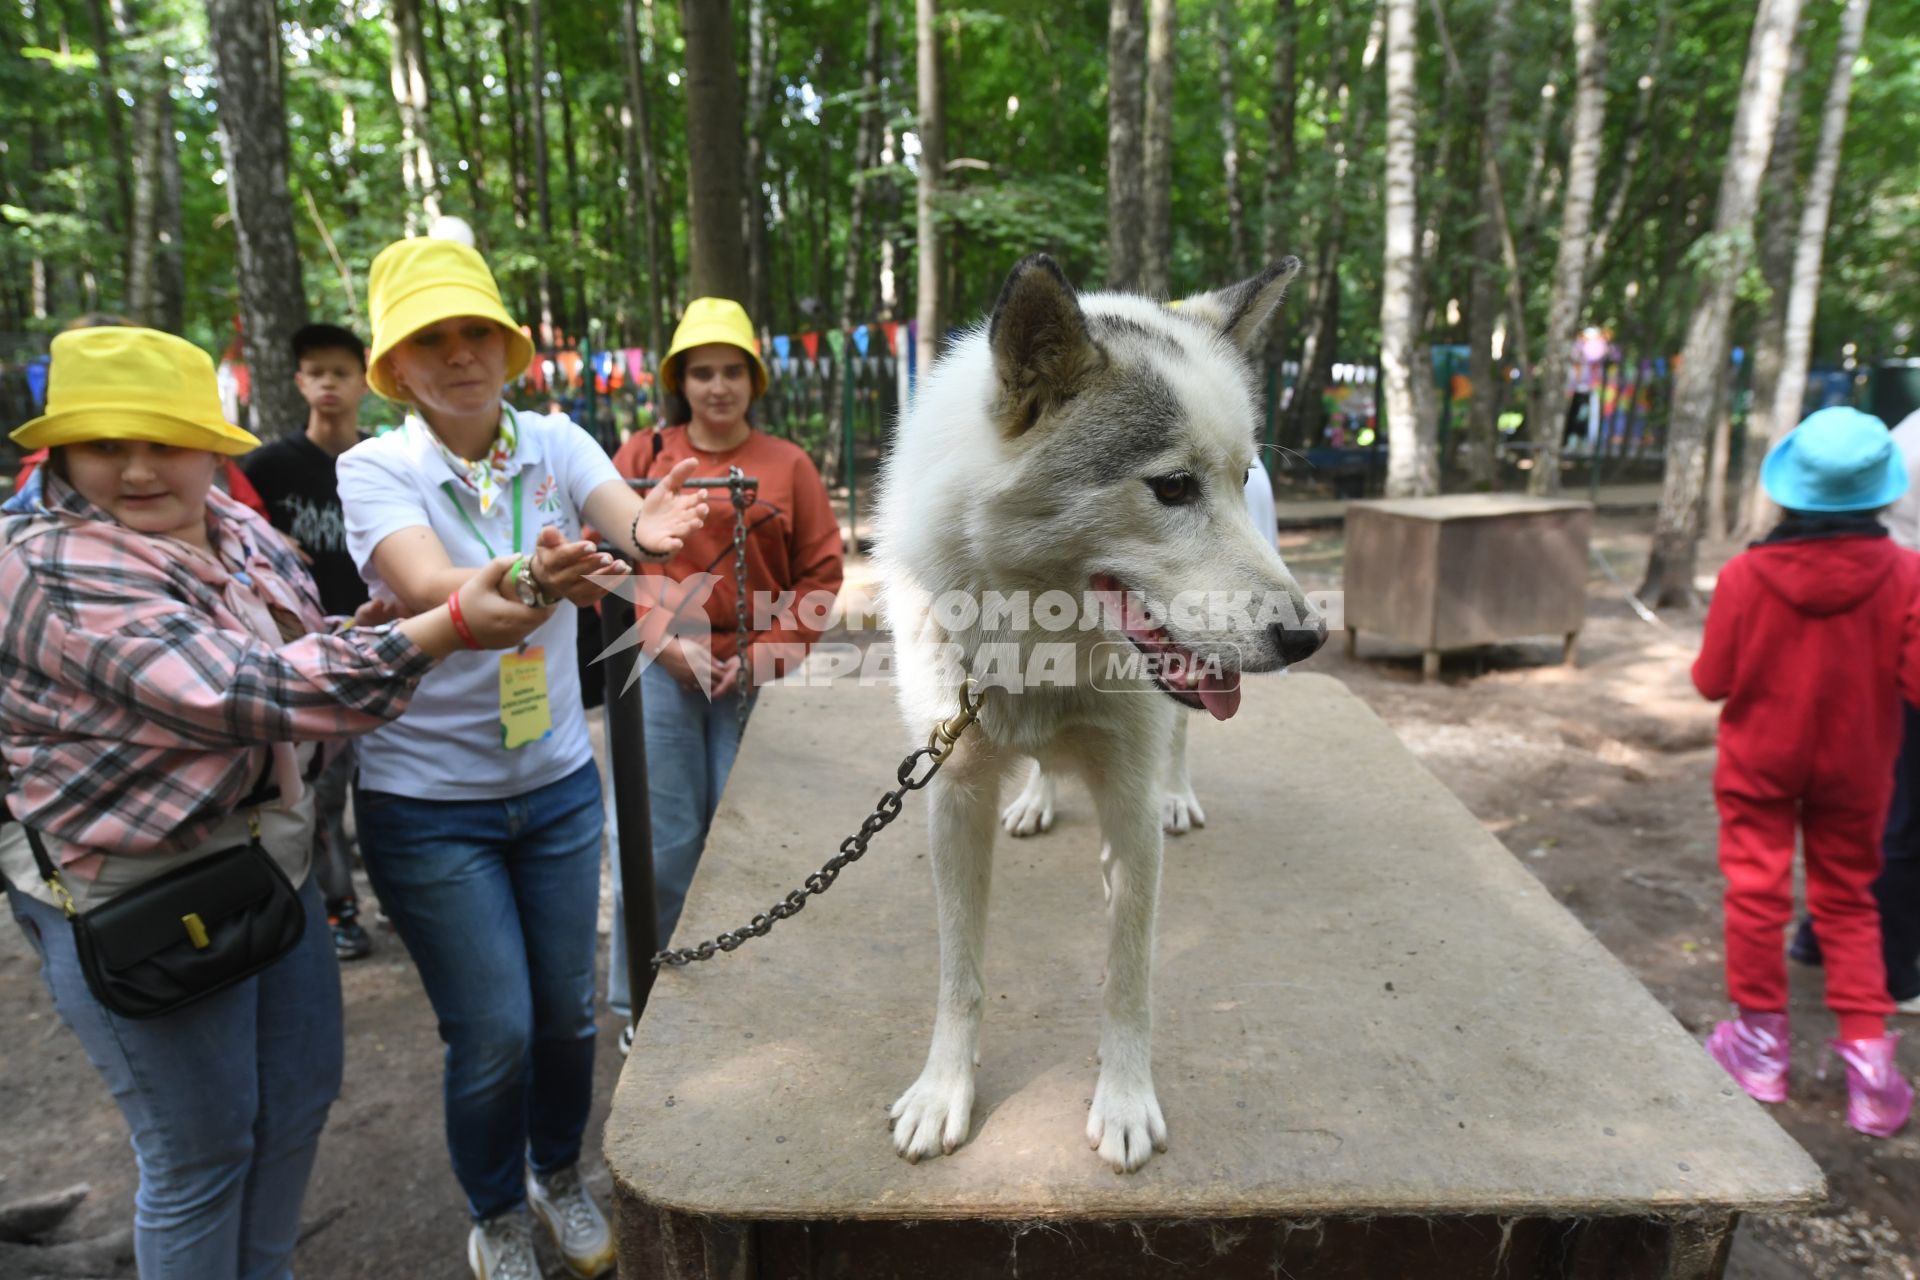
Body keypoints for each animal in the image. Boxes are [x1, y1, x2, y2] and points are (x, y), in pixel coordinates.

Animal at [879, 253, 1328, 1174]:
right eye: (1173, 486)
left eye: (1234, 479)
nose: (1310, 637)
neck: (1038, 647)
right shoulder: (953, 794)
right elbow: (959, 976)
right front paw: (944, 1093)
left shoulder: (1127, 798)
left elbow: (1128, 977)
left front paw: (1123, 1104)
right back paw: (1036, 799)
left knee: (1186, 735)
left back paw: (1180, 795)